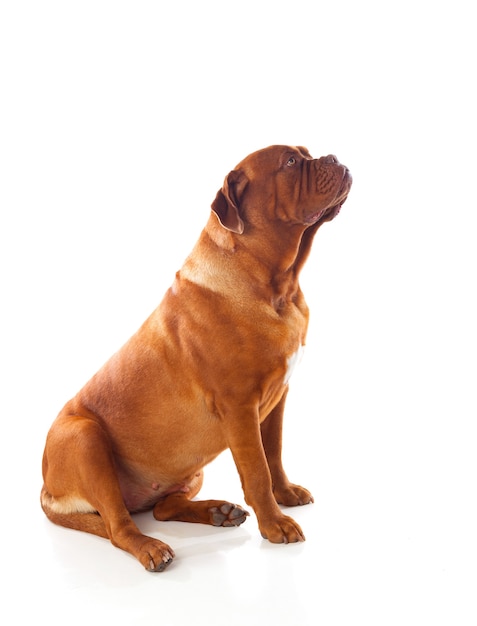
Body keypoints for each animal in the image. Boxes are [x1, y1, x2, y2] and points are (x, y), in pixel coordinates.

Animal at [41, 144, 352, 568]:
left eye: (305, 153)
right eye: (289, 163)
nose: (334, 157)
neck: (278, 287)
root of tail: (45, 490)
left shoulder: (277, 399)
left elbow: (273, 453)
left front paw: (285, 494)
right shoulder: (240, 407)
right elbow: (257, 470)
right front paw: (275, 524)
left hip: (191, 470)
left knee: (162, 508)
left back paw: (217, 512)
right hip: (84, 437)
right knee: (118, 527)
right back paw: (151, 547)